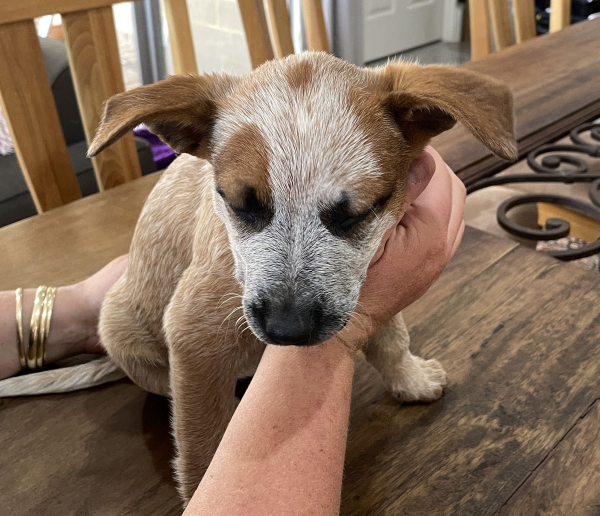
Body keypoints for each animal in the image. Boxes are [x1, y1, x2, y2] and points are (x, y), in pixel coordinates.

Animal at [86, 51, 516, 500]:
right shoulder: (193, 332)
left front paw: (409, 379)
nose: (286, 329)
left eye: (359, 213)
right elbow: (201, 446)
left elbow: (391, 335)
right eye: (239, 204)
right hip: (119, 326)